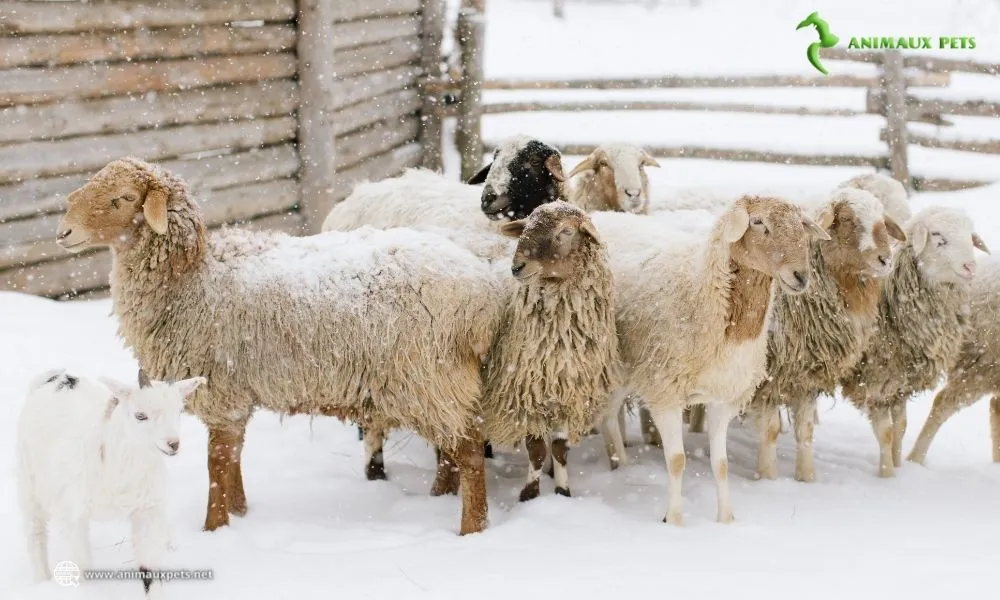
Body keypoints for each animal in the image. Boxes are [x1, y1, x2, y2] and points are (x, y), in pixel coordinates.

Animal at [16, 370, 203, 596]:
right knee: (36, 534)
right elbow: (82, 564)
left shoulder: (147, 510)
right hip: (30, 484)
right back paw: (41, 580)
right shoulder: (72, 513)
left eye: (179, 411)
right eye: (140, 415)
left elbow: (149, 566)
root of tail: (58, 377)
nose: (173, 444)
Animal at [584, 198, 828, 524]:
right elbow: (676, 460)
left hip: (626, 367)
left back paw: (621, 468)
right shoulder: (666, 392)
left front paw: (726, 519)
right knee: (608, 415)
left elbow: (720, 463)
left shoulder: (722, 396)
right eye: (758, 222)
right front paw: (674, 521)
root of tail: (602, 214)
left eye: (801, 225)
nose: (801, 276)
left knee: (610, 414)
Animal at [840, 206, 988, 478]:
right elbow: (886, 432)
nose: (970, 266)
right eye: (937, 234)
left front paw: (899, 465)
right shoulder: (874, 376)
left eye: (970, 235)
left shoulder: (900, 380)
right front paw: (887, 476)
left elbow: (901, 426)